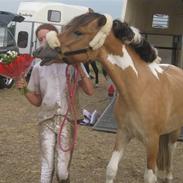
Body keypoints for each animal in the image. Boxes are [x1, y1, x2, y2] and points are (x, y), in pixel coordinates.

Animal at [33, 12, 183, 182]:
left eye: (78, 32)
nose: (39, 51)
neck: (139, 89)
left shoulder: (152, 141)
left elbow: (150, 176)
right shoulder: (123, 134)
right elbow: (111, 169)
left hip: (174, 131)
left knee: (171, 151)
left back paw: (169, 176)